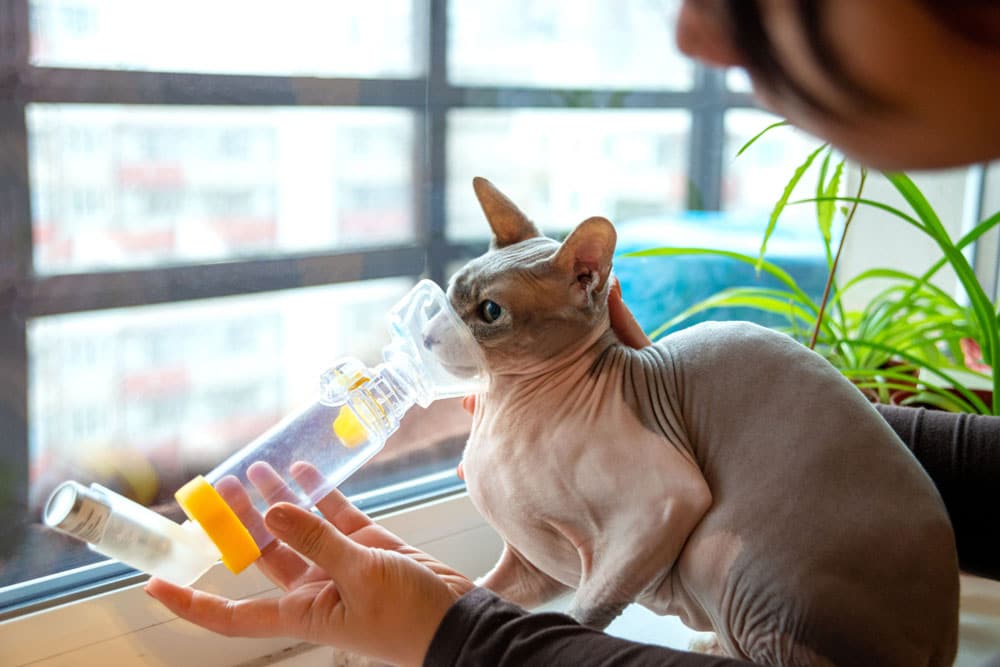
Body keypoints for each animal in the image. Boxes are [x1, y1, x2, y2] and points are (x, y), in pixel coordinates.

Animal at [442, 177, 956, 667]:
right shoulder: (536, 562)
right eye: (450, 293)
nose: (433, 332)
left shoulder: (665, 504)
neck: (504, 409)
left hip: (720, 554)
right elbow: (482, 587)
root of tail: (943, 636)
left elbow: (583, 613)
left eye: (491, 312)